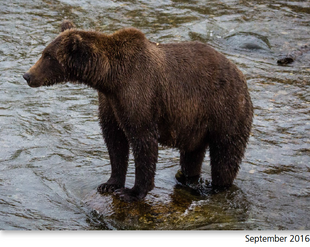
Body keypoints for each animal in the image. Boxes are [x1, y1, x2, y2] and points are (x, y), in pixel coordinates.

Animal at [23, 20, 253, 202]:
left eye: (48, 56)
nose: (27, 75)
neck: (110, 78)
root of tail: (241, 75)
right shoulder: (110, 101)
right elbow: (114, 140)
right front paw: (109, 183)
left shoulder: (139, 93)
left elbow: (142, 140)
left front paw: (132, 192)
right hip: (195, 123)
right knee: (192, 154)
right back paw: (186, 178)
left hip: (225, 109)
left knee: (226, 154)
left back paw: (215, 187)